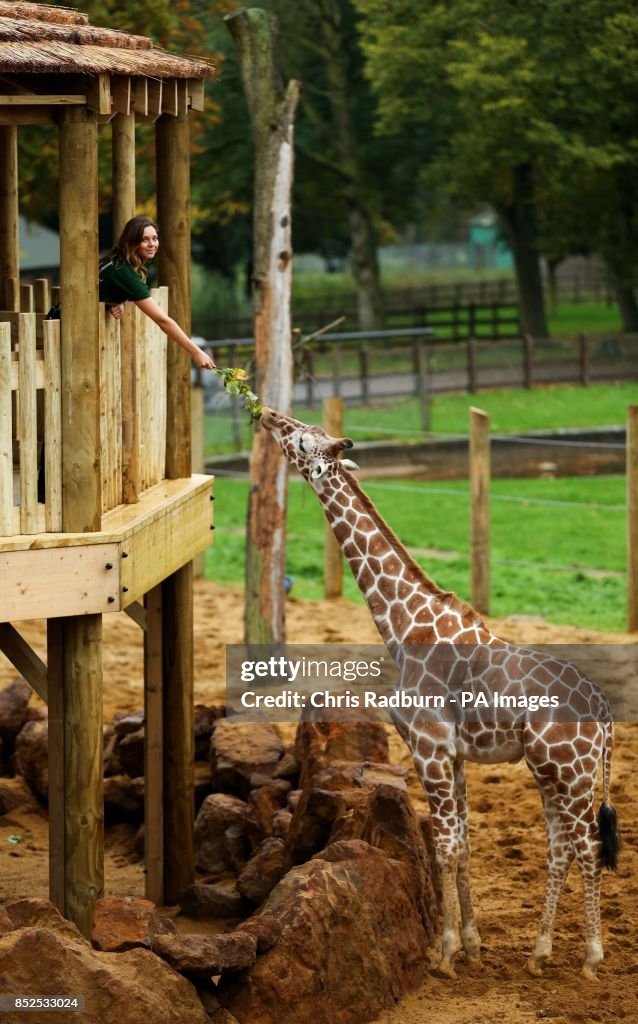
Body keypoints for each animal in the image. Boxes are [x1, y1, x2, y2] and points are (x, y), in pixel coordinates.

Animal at [258, 407, 618, 983]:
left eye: (302, 441)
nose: (268, 414)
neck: (403, 625)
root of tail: (604, 714)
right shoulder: (455, 754)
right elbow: (464, 843)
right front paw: (471, 946)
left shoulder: (427, 746)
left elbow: (444, 845)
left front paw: (445, 954)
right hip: (551, 772)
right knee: (562, 846)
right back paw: (539, 954)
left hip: (570, 771)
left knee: (586, 845)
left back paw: (590, 959)